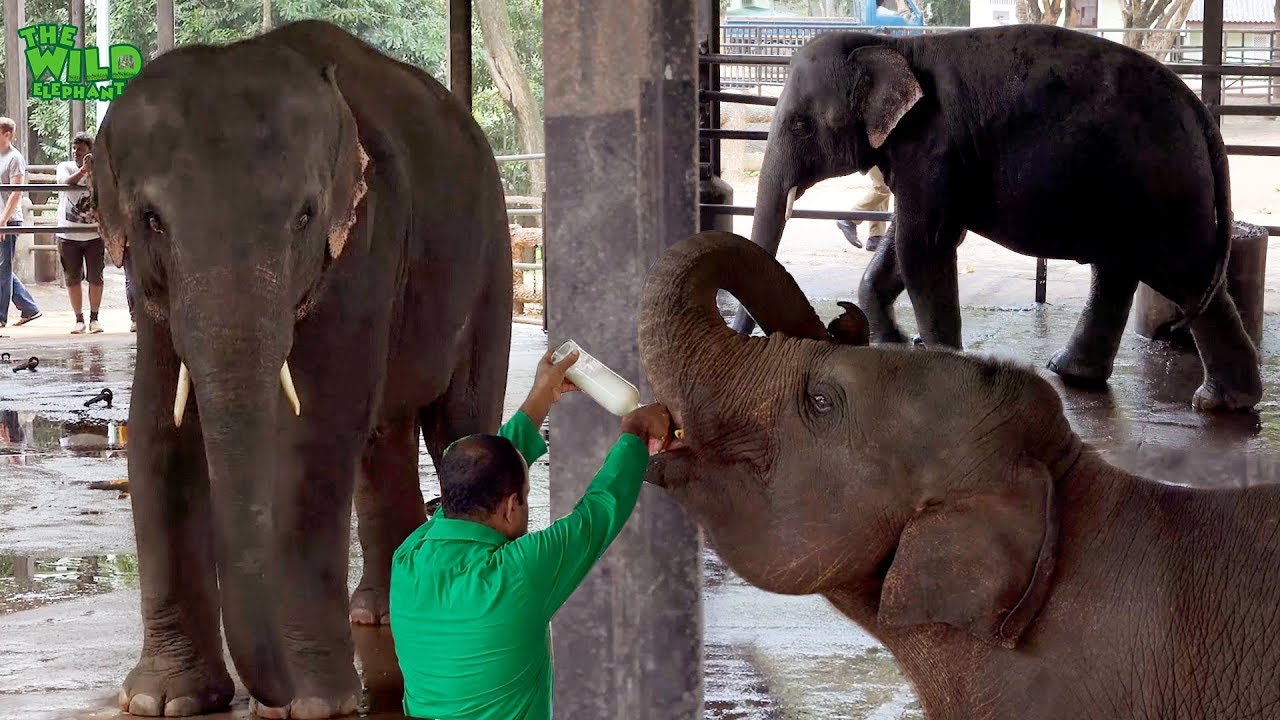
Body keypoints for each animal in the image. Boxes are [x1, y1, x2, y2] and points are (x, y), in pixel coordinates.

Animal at [90, 20, 512, 718]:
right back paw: (378, 612)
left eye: (305, 216)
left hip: (491, 259)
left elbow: (314, 431)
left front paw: (313, 705)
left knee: (460, 421)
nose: (267, 693)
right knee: (382, 436)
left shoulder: (366, 238)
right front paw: (164, 701)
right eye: (151, 220)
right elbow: (156, 426)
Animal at [733, 24, 1263, 413]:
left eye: (801, 125)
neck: (893, 44)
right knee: (1122, 271)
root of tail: (1199, 110)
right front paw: (892, 342)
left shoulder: (934, 145)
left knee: (1181, 274)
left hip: (1163, 186)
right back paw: (1077, 376)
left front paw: (939, 364)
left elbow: (925, 245)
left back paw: (1219, 404)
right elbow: (908, 242)